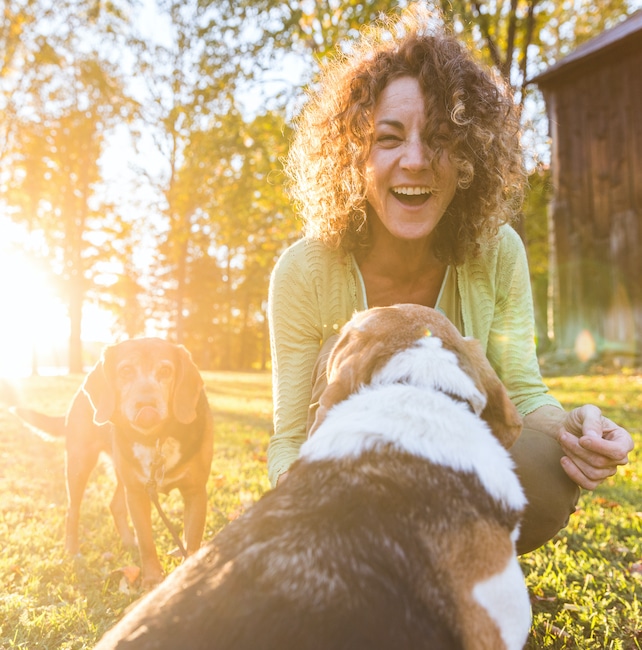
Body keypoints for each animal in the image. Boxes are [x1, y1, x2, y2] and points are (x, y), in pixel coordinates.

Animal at [12, 336, 212, 584]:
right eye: (125, 371)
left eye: (165, 371)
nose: (147, 406)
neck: (155, 438)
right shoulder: (137, 494)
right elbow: (147, 541)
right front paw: (153, 580)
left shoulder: (195, 492)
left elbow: (192, 542)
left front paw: (187, 573)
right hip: (79, 465)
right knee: (72, 510)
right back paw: (73, 550)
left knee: (114, 505)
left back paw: (127, 541)